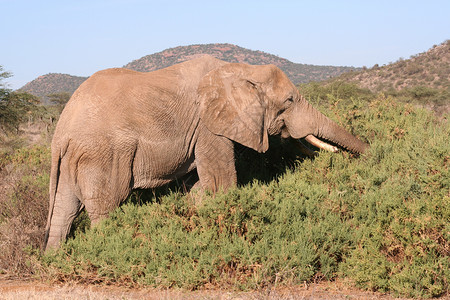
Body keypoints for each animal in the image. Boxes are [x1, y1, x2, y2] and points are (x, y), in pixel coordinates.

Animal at [44, 55, 370, 250]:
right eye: (289, 101)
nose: (371, 151)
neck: (239, 70)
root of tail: (60, 133)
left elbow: (199, 186)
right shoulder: (208, 125)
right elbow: (220, 180)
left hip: (74, 160)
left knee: (63, 212)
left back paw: (55, 260)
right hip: (103, 154)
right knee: (106, 207)